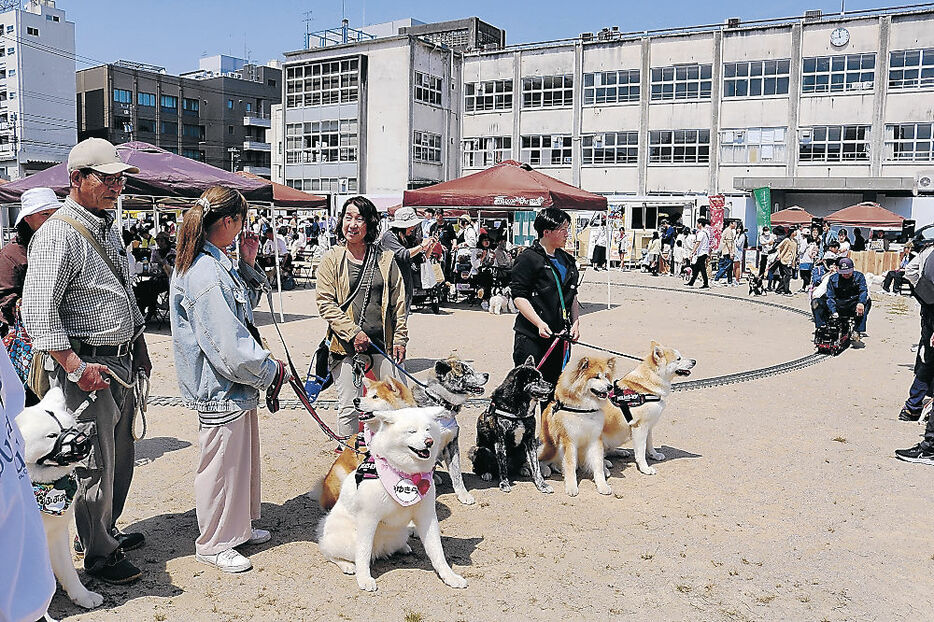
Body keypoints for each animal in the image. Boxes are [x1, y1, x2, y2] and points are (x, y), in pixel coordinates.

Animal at [15, 388, 105, 612]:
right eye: (51, 435)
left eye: (72, 427)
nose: (83, 441)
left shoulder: (56, 534)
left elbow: (67, 569)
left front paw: (82, 596)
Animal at [320, 408, 468, 592]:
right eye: (412, 431)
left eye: (428, 429)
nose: (429, 441)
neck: (406, 474)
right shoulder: (367, 519)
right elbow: (363, 553)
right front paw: (364, 578)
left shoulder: (427, 517)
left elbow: (438, 552)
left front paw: (450, 577)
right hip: (346, 541)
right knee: (329, 552)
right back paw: (346, 565)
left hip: (398, 534)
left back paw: (403, 547)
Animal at [472, 358, 552, 494]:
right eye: (536, 380)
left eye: (541, 377)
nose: (551, 385)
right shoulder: (500, 440)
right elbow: (502, 466)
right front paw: (504, 483)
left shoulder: (530, 439)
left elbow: (535, 465)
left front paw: (542, 485)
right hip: (482, 450)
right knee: (481, 468)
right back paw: (486, 473)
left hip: (521, 451)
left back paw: (523, 470)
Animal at [536, 356, 616, 498]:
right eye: (596, 377)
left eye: (606, 376)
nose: (610, 386)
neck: (584, 410)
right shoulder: (569, 442)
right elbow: (570, 465)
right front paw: (571, 487)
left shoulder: (595, 440)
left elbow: (597, 464)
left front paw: (602, 485)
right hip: (552, 448)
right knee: (541, 460)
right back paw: (546, 470)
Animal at [608, 344, 696, 476]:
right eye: (678, 359)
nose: (694, 361)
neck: (645, 390)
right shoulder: (639, 427)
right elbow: (640, 451)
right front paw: (644, 468)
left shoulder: (648, 426)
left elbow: (649, 444)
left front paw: (653, 455)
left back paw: (620, 452)